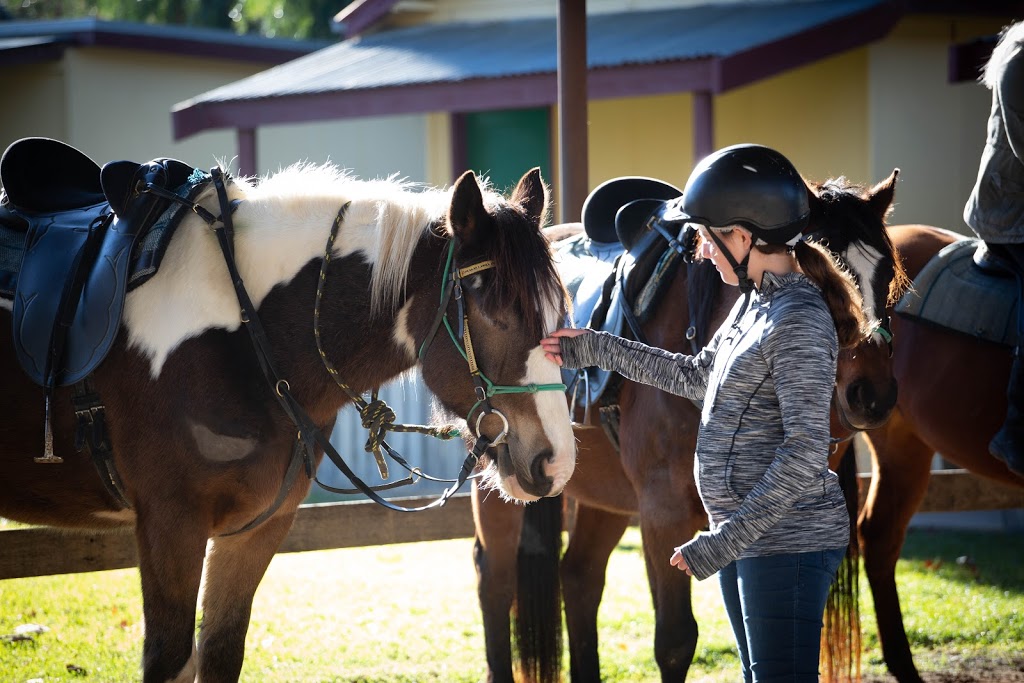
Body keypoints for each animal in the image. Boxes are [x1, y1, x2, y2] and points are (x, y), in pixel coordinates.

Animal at [0, 143, 577, 679]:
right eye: (495, 312)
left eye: (561, 314)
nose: (555, 462)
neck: (247, 333)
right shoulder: (170, 524)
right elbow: (169, 658)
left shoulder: (254, 530)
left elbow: (220, 652)